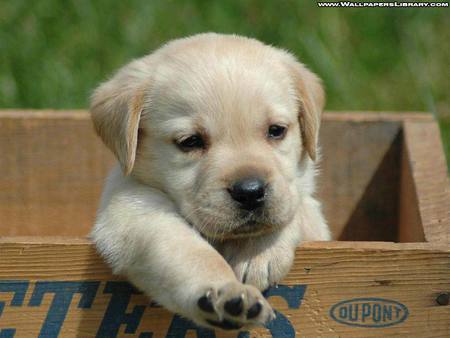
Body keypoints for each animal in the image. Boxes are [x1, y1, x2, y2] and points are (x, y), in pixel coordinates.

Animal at [90, 32, 330, 330]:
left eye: (276, 131)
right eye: (190, 141)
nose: (250, 192)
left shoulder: (310, 215)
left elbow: (297, 208)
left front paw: (256, 251)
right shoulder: (131, 211)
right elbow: (187, 251)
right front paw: (226, 293)